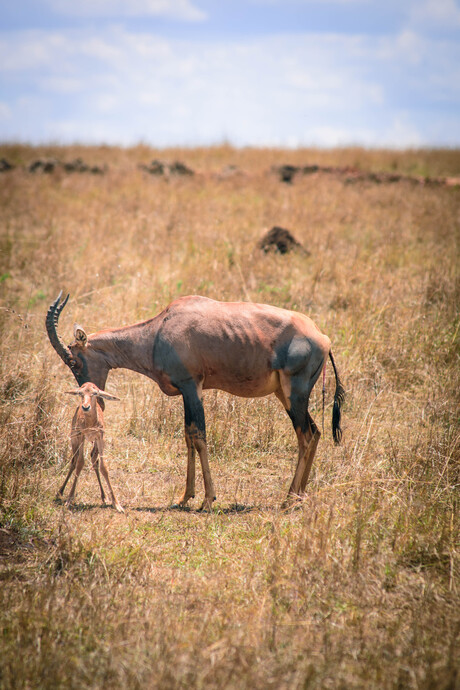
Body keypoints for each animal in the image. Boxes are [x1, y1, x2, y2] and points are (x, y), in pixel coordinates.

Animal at [46, 288, 344, 506]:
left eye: (73, 361)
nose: (92, 405)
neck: (160, 328)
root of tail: (322, 337)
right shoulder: (186, 393)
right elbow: (188, 436)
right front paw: (184, 497)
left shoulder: (192, 387)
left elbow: (199, 436)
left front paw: (208, 500)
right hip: (286, 394)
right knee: (315, 432)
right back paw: (299, 494)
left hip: (295, 392)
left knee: (306, 434)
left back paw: (289, 498)